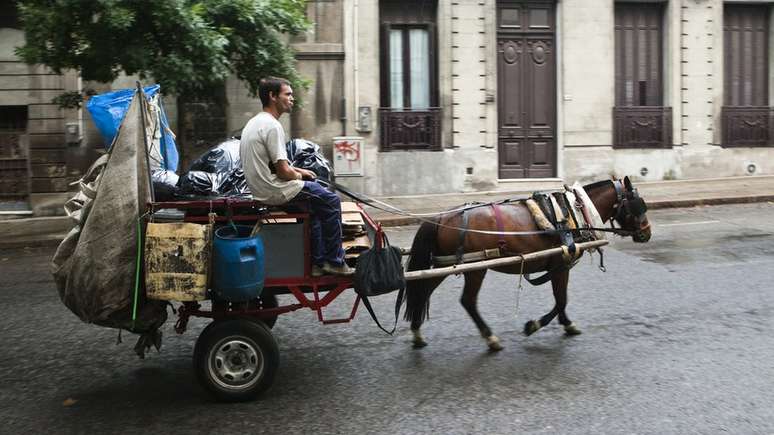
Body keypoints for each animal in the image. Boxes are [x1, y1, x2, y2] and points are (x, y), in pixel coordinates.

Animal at [406, 176, 656, 350]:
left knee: (424, 289)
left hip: (444, 265)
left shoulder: (557, 266)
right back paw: (490, 338)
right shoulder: (561, 264)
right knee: (467, 301)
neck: (574, 210)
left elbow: (561, 299)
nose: (647, 233)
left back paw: (417, 332)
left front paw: (566, 323)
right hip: (475, 269)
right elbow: (561, 299)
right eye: (637, 203)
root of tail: (440, 217)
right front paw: (535, 325)